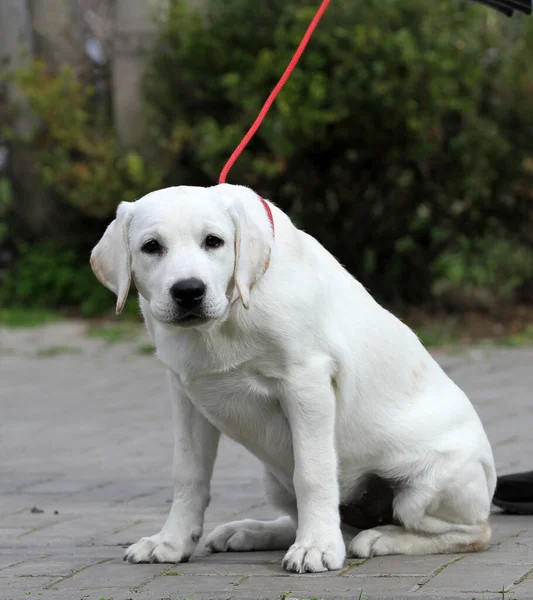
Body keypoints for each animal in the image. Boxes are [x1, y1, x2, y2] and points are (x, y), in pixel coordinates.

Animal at [89, 182, 492, 572]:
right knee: (316, 519)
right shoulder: (186, 394)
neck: (229, 314)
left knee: (471, 532)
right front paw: (171, 542)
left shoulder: (306, 383)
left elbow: (312, 474)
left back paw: (379, 538)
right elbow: (188, 474)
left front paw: (316, 549)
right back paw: (251, 531)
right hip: (275, 480)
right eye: (151, 247)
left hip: (428, 486)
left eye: (214, 241)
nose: (188, 291)